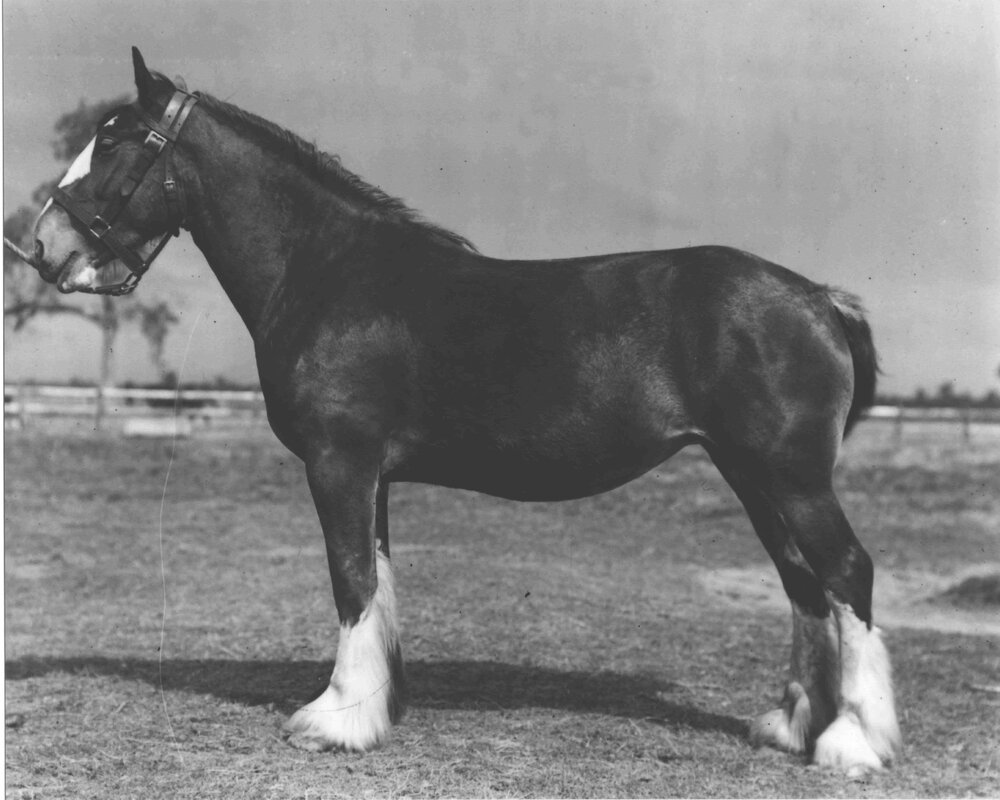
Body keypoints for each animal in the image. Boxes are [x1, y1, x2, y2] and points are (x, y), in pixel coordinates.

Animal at [22, 48, 900, 772]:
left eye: (117, 140)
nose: (41, 245)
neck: (327, 271)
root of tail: (819, 298)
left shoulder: (340, 464)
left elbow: (350, 581)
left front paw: (333, 720)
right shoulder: (370, 475)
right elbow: (376, 580)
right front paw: (375, 706)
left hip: (790, 478)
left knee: (845, 573)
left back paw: (852, 743)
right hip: (752, 476)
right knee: (803, 584)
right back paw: (791, 727)